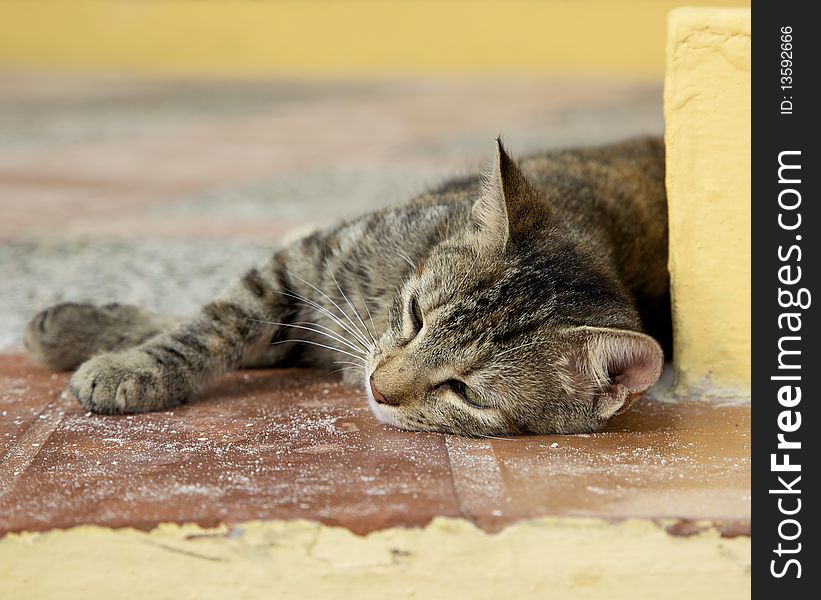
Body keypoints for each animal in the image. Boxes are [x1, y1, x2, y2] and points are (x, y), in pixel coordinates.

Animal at [22, 137, 668, 436]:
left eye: (466, 393)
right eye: (415, 315)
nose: (378, 387)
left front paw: (112, 356)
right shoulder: (301, 264)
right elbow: (211, 325)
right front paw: (115, 352)